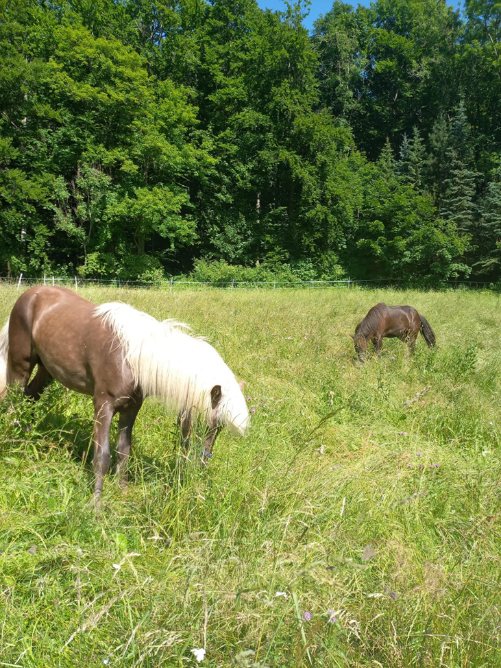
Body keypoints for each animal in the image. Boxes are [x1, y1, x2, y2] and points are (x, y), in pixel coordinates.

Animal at [0, 286, 249, 502]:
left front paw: (122, 492)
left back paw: (28, 439)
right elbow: (102, 456)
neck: (131, 358)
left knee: (30, 397)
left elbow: (123, 452)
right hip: (20, 364)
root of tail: (31, 294)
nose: (202, 466)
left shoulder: (130, 409)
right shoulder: (103, 405)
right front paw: (96, 505)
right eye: (207, 424)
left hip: (46, 370)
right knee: (14, 403)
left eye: (219, 429)